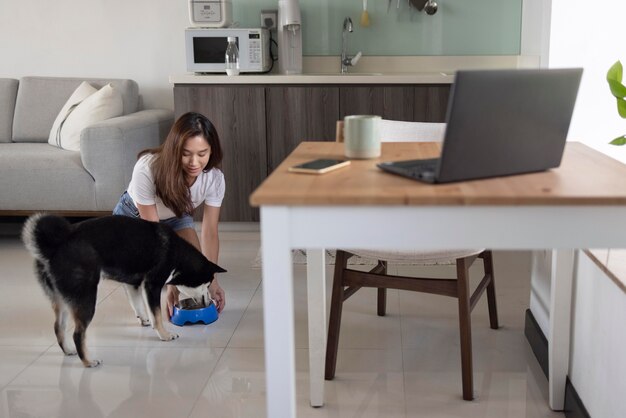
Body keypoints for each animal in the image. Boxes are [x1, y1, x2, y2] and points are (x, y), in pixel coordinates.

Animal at [22, 214, 227, 368]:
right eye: (208, 284)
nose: (210, 301)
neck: (179, 256)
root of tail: (54, 246)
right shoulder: (152, 284)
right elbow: (157, 315)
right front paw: (164, 334)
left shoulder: (133, 284)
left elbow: (139, 305)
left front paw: (144, 320)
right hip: (86, 297)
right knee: (77, 334)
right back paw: (88, 361)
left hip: (63, 300)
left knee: (59, 327)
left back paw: (68, 351)